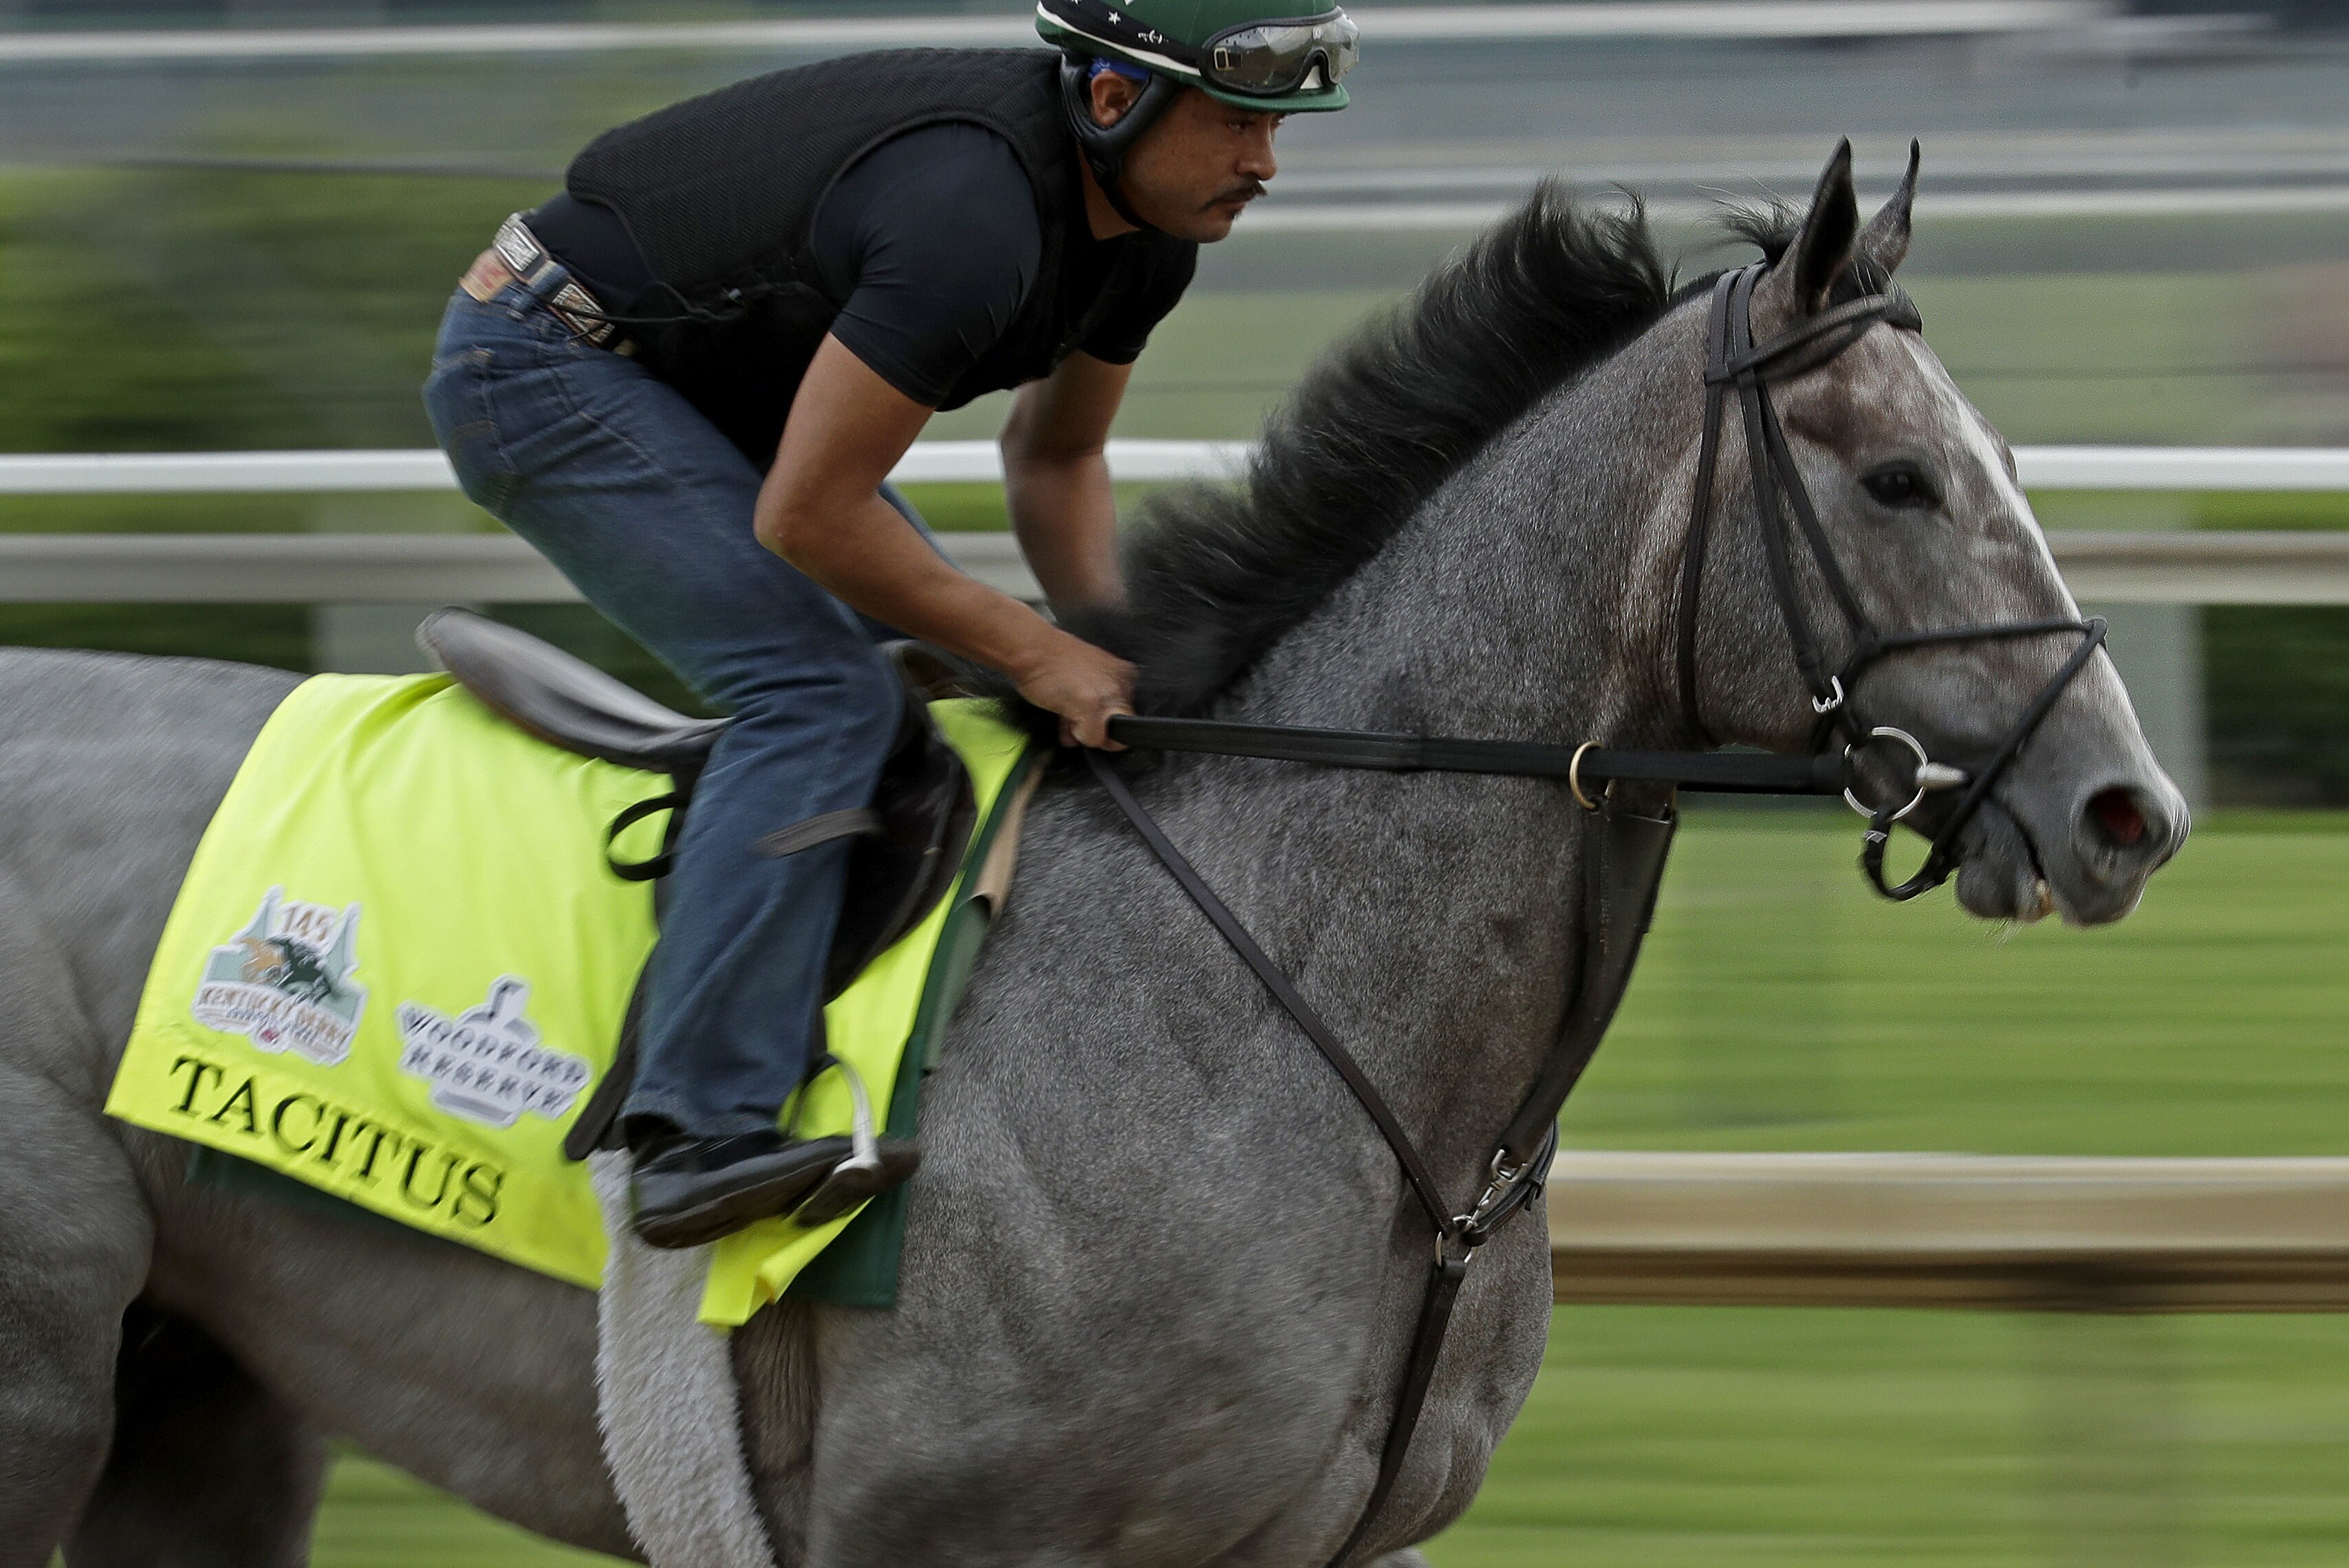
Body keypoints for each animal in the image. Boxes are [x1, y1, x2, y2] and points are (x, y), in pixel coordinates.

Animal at [0, 144, 2182, 1567]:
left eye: (1994, 459)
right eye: (1895, 477)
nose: (2122, 811)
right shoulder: (946, 1540)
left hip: (203, 1398)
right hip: (56, 1375)